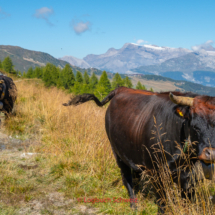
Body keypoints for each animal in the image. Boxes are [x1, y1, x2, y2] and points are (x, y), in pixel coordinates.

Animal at [63, 87, 215, 213]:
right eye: (195, 126)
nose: (211, 153)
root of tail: (121, 88)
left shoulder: (189, 178)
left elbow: (186, 202)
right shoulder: (155, 173)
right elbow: (162, 201)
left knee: (135, 175)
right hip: (117, 153)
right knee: (127, 178)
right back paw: (134, 205)